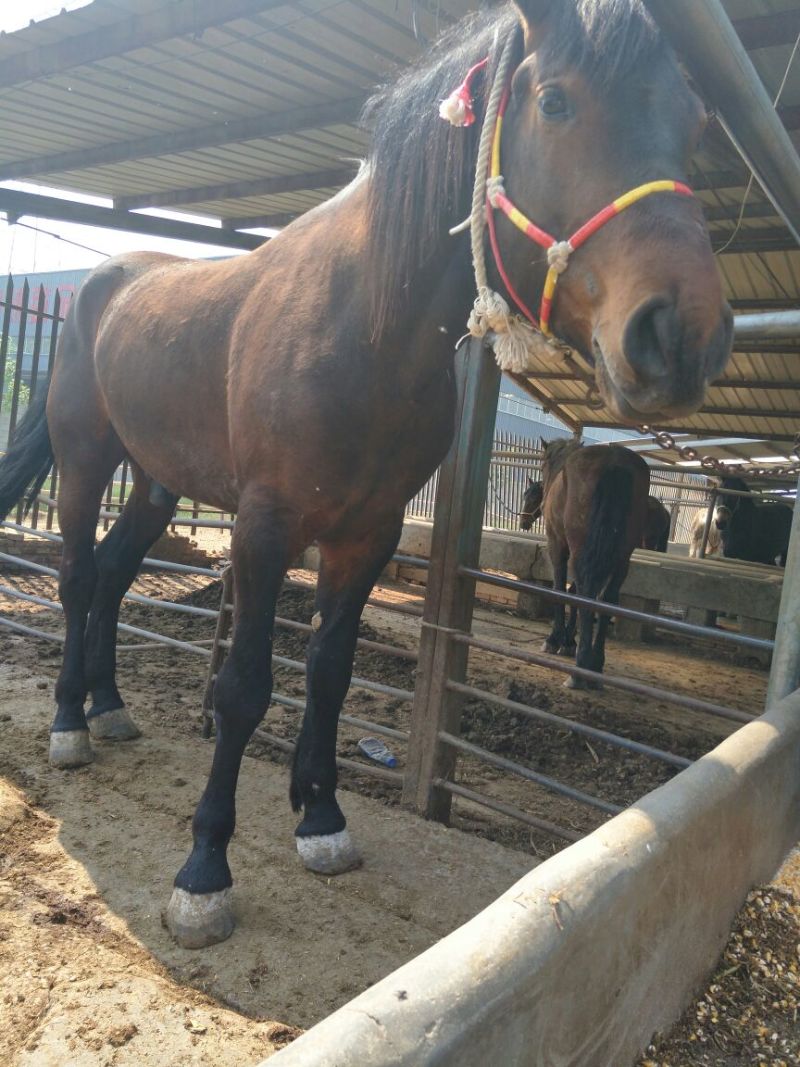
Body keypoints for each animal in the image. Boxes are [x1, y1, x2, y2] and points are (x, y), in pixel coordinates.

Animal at [537, 440, 649, 685]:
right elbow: (573, 591)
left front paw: (556, 639)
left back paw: (581, 668)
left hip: (581, 550)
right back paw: (596, 662)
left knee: (587, 594)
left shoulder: (557, 544)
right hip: (620, 558)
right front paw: (569, 640)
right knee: (605, 597)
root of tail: (614, 462)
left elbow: (560, 588)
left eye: (542, 465)